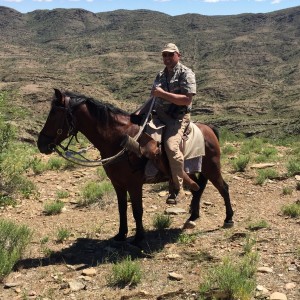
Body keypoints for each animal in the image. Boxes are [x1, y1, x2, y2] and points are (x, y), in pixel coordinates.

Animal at [38, 89, 234, 244]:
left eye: (54, 114)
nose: (41, 144)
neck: (118, 138)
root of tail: (209, 128)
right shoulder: (117, 183)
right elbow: (122, 208)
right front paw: (121, 234)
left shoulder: (134, 184)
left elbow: (137, 210)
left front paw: (139, 237)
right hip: (193, 170)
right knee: (198, 188)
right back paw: (192, 217)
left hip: (212, 167)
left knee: (223, 188)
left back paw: (228, 219)